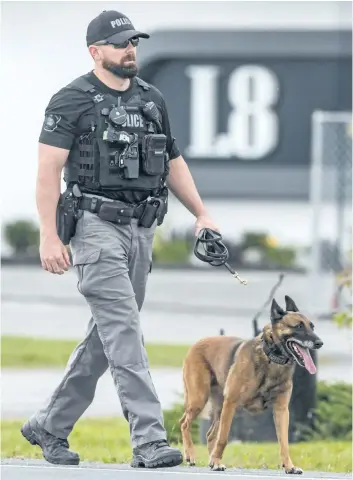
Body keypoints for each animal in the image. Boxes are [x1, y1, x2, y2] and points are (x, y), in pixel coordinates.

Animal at [180, 296, 324, 472]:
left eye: (312, 326)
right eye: (298, 326)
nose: (320, 343)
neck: (271, 359)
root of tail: (198, 342)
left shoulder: (281, 410)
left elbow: (284, 443)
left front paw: (289, 466)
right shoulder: (231, 403)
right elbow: (223, 438)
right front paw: (215, 460)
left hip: (219, 408)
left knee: (210, 434)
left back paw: (212, 460)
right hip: (200, 399)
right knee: (185, 423)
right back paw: (192, 455)